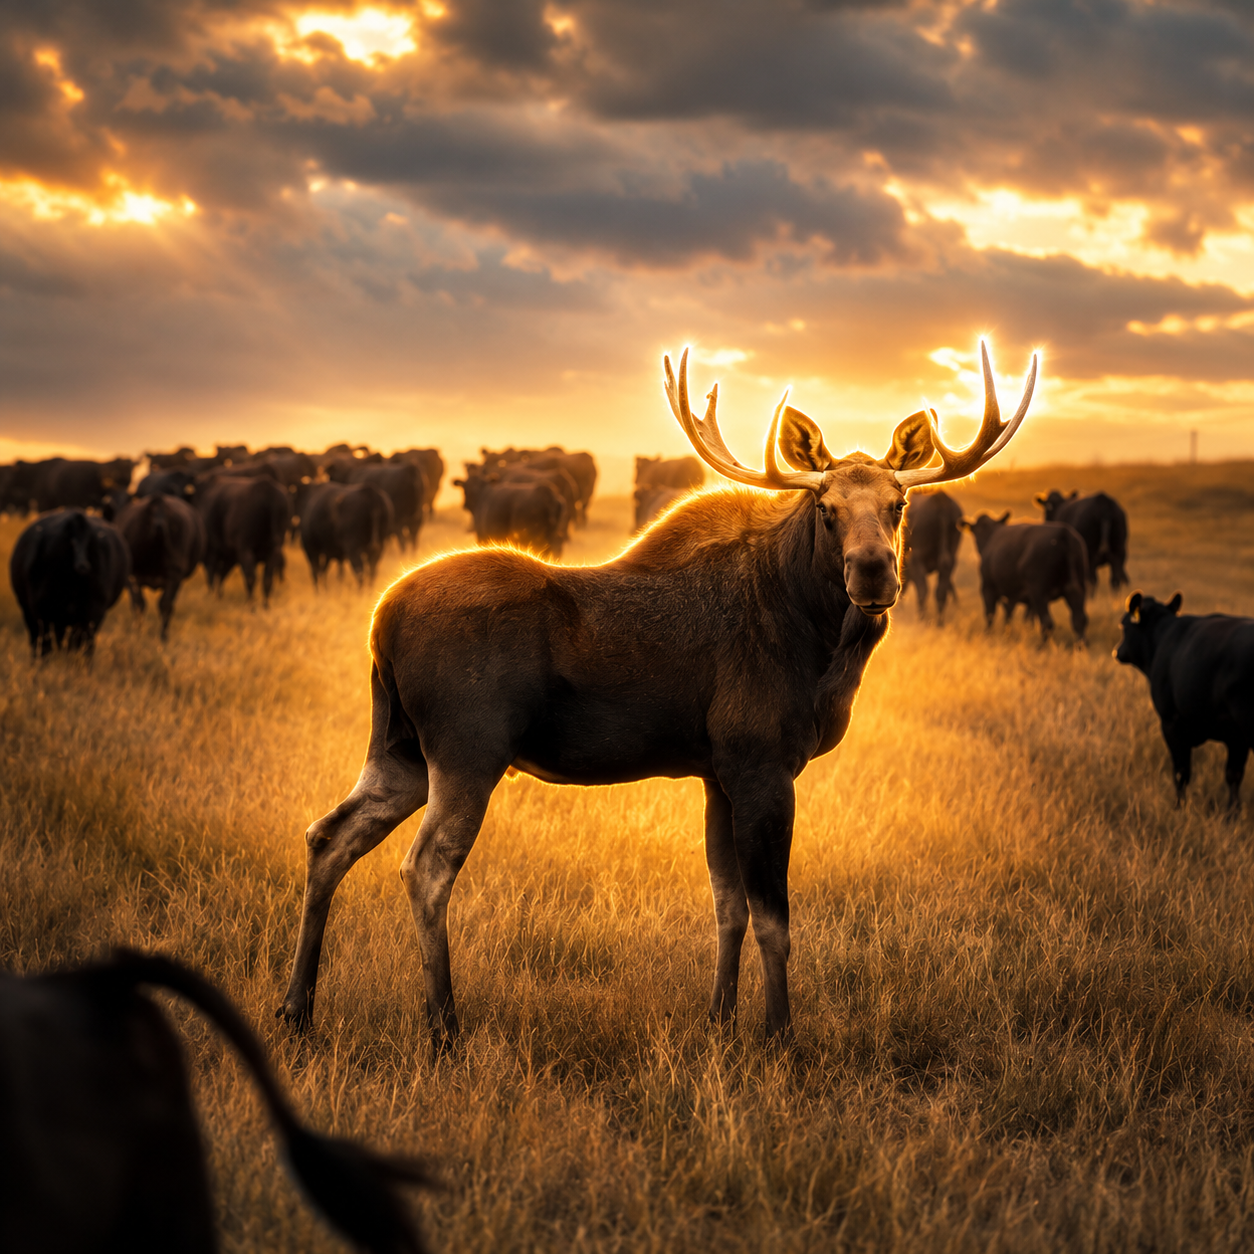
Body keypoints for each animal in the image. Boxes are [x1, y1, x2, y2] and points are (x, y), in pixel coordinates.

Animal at [278, 344, 1037, 1045]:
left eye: (898, 504)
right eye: (825, 508)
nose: (874, 571)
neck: (817, 642)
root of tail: (381, 618)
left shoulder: (717, 773)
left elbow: (728, 905)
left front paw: (721, 1021)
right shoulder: (762, 764)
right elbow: (775, 919)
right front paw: (779, 1037)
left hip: (400, 751)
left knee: (328, 836)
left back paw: (297, 1009)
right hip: (468, 751)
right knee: (426, 867)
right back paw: (443, 1026)